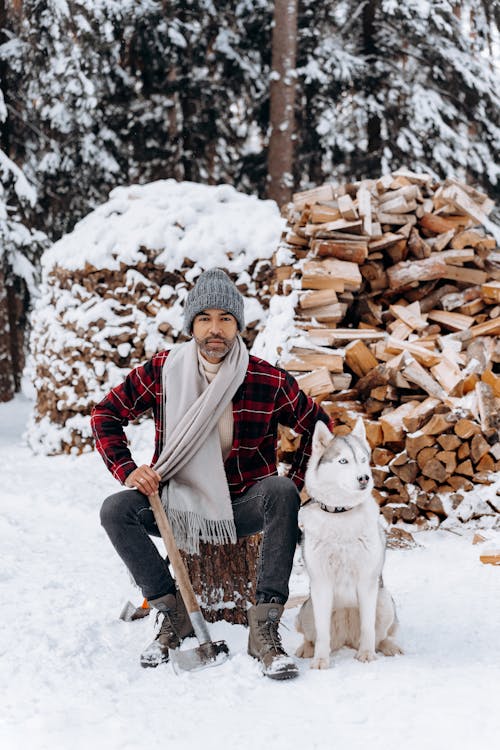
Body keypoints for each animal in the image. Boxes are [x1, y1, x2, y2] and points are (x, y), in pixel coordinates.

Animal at [296, 420, 402, 672]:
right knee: (312, 635)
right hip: (307, 609)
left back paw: (386, 647)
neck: (340, 513)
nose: (364, 478)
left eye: (363, 459)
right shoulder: (321, 584)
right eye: (343, 461)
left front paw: (367, 655)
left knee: (380, 635)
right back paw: (307, 649)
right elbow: (322, 634)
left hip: (384, 600)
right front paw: (321, 660)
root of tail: (345, 639)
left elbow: (368, 627)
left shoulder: (367, 581)